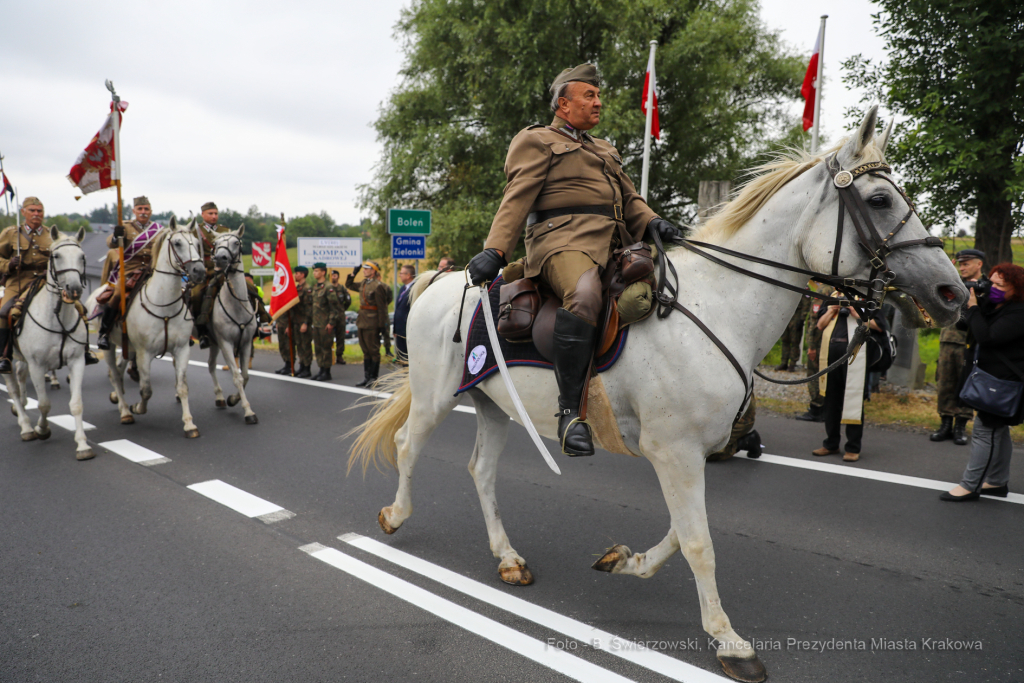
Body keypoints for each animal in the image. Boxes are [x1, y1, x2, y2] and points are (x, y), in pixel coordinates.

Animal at [5, 228, 93, 458]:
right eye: (56, 256)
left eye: (82, 256)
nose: (74, 289)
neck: (58, 316)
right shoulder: (37, 366)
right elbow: (44, 404)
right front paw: (41, 429)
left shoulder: (77, 361)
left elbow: (77, 404)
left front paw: (82, 444)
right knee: (12, 388)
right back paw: (26, 426)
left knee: (20, 376)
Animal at [89, 216, 206, 436]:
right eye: (177, 243)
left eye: (196, 244)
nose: (199, 271)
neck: (165, 305)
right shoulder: (144, 353)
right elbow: (146, 389)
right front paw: (137, 408)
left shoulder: (181, 349)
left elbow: (182, 387)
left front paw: (189, 424)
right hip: (110, 346)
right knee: (114, 375)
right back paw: (125, 412)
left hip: (129, 347)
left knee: (119, 370)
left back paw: (119, 401)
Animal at [203, 227, 258, 423]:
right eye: (216, 244)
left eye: (236, 242)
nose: (220, 258)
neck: (236, 304)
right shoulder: (226, 343)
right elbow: (237, 377)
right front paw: (248, 411)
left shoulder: (246, 343)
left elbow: (246, 376)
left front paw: (233, 399)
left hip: (213, 342)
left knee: (211, 365)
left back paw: (219, 397)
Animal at [350, 108, 966, 683]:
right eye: (880, 198)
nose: (952, 292)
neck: (718, 304)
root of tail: (438, 279)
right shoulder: (674, 452)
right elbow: (698, 543)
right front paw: (730, 642)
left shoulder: (692, 453)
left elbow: (682, 532)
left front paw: (624, 562)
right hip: (435, 397)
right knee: (407, 447)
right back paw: (395, 517)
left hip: (494, 406)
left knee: (480, 470)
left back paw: (507, 559)